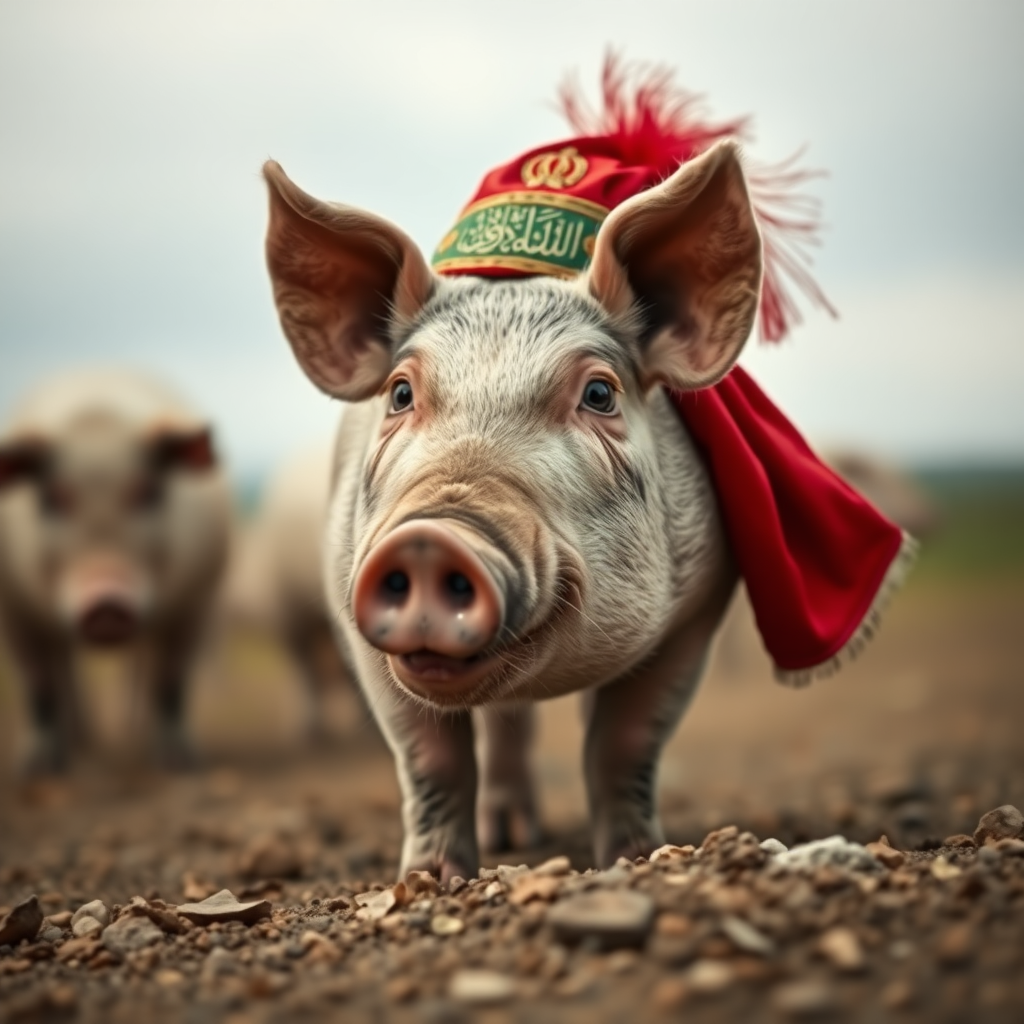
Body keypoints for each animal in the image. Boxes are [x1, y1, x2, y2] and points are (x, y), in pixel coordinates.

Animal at [0, 372, 232, 770]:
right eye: (52, 497)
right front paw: (35, 769)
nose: (105, 602)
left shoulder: (197, 599)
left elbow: (171, 681)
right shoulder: (13, 605)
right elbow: (39, 683)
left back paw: (131, 737)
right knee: (64, 667)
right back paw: (82, 744)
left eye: (147, 491)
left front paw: (183, 763)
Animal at [264, 142, 761, 880]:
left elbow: (623, 743)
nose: (430, 536)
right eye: (401, 392)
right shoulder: (347, 599)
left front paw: (635, 860)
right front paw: (429, 880)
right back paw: (508, 838)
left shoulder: (698, 606)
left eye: (600, 394)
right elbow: (430, 758)